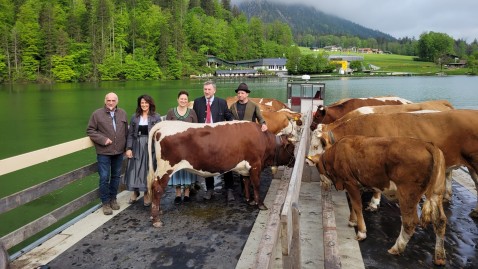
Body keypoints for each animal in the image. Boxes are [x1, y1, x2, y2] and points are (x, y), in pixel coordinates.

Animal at [146, 120, 296, 227]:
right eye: (291, 148)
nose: (294, 162)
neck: (263, 139)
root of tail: (164, 124)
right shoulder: (255, 165)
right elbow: (256, 185)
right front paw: (260, 204)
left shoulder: (246, 168)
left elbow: (246, 182)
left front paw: (249, 200)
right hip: (165, 168)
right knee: (157, 189)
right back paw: (156, 219)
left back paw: (157, 211)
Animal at [306, 135, 448, 264]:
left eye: (318, 170)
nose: (322, 184)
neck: (335, 154)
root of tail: (428, 144)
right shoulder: (356, 184)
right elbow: (353, 204)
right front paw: (352, 221)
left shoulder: (350, 182)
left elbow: (357, 206)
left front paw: (361, 232)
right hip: (436, 192)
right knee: (440, 221)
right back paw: (439, 256)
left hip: (407, 194)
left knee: (409, 222)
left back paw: (397, 247)